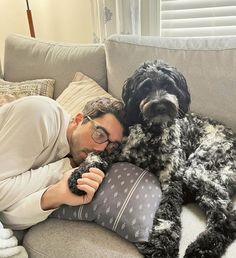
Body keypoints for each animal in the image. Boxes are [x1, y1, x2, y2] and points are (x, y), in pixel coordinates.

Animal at [68, 59, 236, 256]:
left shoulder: (172, 178)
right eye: (145, 88)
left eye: (169, 86)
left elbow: (167, 214)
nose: (160, 106)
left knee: (226, 216)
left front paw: (162, 243)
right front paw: (81, 176)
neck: (153, 135)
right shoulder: (117, 149)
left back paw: (202, 248)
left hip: (197, 169)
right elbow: (95, 154)